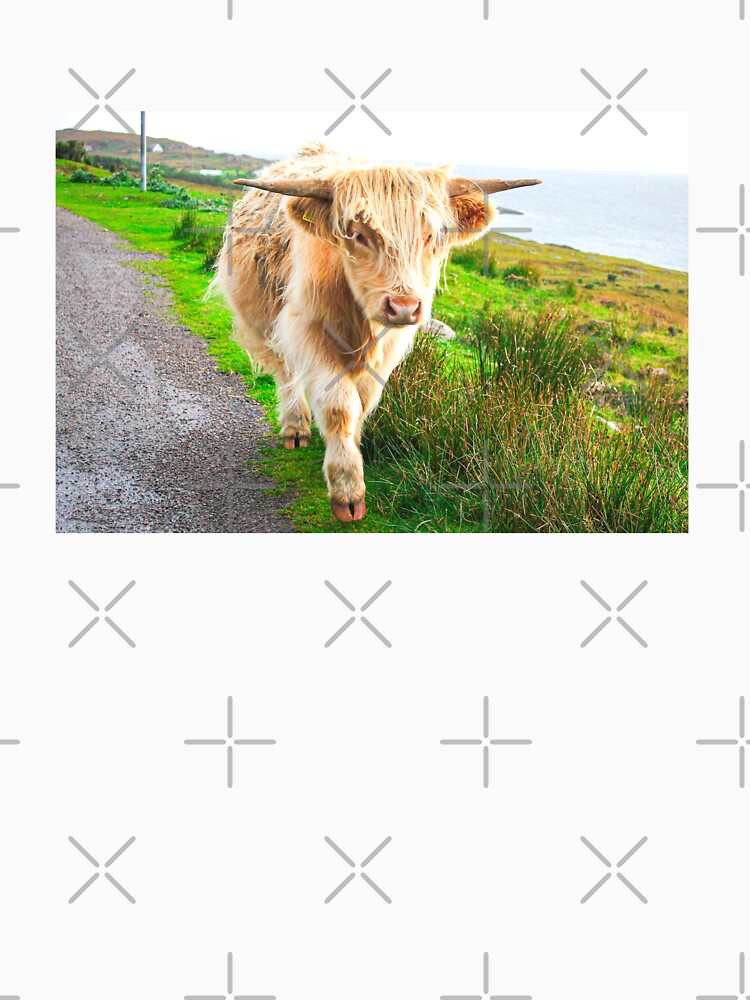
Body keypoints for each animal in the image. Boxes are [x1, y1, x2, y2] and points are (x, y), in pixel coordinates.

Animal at [213, 143, 540, 522]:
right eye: (359, 234)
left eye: (430, 235)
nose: (403, 306)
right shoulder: (309, 330)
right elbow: (339, 406)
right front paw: (347, 489)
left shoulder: (389, 346)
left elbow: (363, 402)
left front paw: (352, 448)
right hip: (265, 323)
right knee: (286, 373)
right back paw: (295, 428)